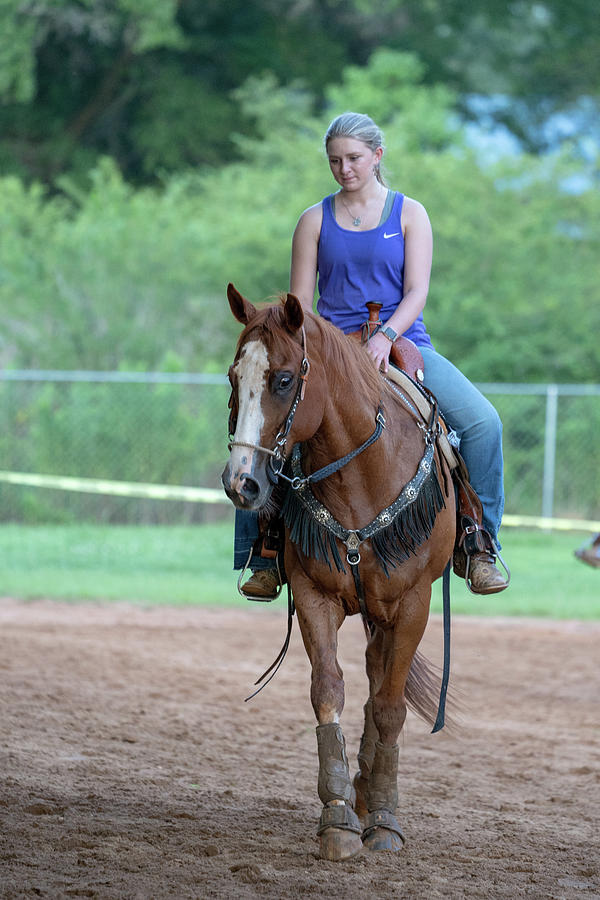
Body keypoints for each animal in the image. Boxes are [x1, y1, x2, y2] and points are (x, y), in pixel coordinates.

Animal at [221, 284, 454, 860]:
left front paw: (385, 821)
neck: (362, 477)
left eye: (284, 379)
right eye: (233, 377)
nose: (242, 483)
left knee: (381, 685)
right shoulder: (314, 596)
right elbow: (329, 690)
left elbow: (390, 707)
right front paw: (339, 818)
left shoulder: (414, 604)